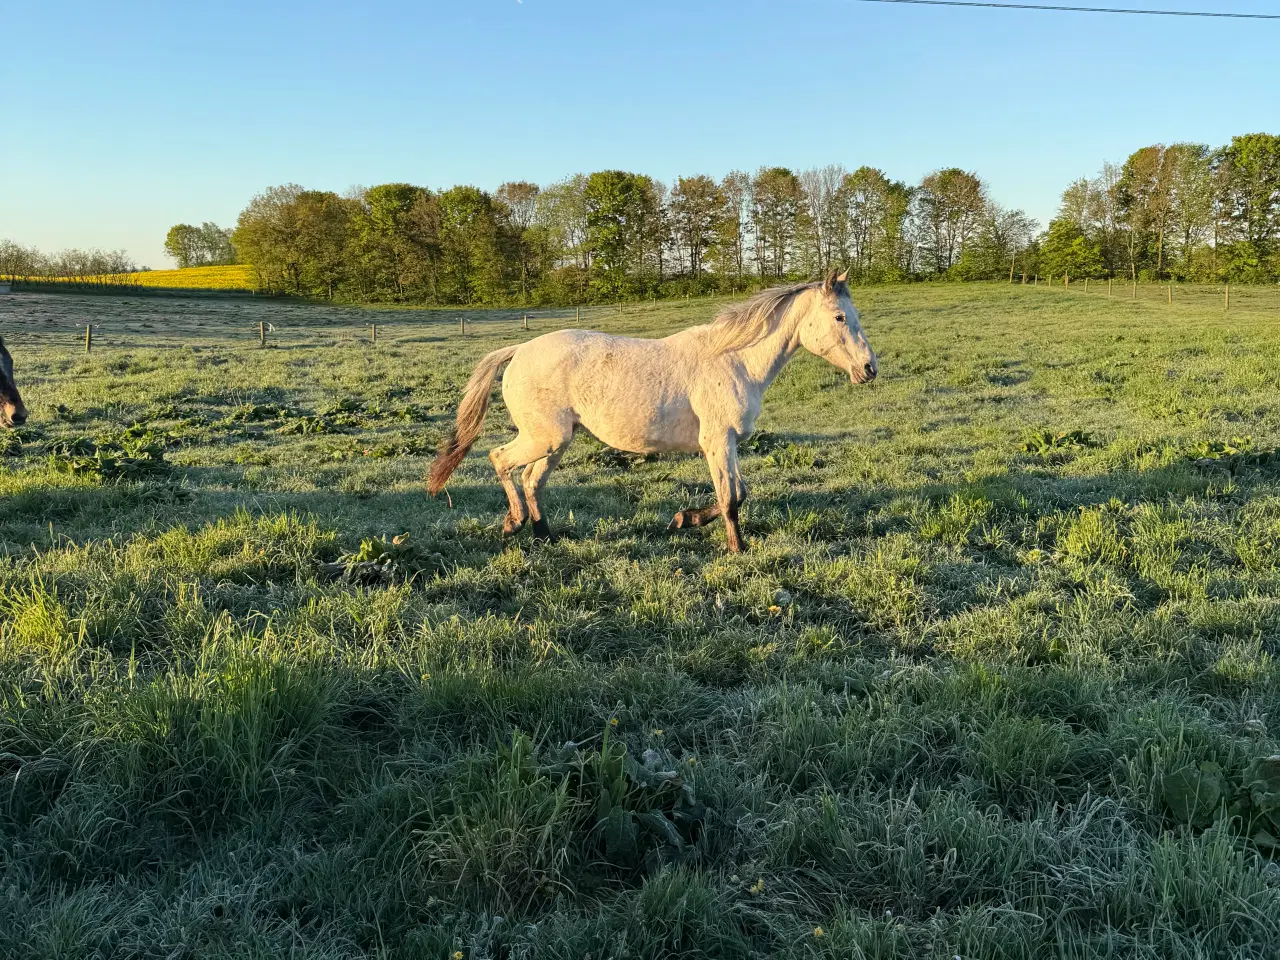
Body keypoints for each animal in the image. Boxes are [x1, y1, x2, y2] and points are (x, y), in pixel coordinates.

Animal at [427, 270, 877, 552]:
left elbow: (738, 493)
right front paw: (736, 548)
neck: (734, 360)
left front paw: (684, 520)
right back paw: (514, 524)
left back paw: (544, 536)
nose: (870, 368)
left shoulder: (727, 444)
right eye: (840, 317)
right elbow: (730, 498)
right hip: (545, 437)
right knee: (500, 460)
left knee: (531, 478)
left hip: (556, 442)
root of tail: (518, 350)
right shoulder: (717, 442)